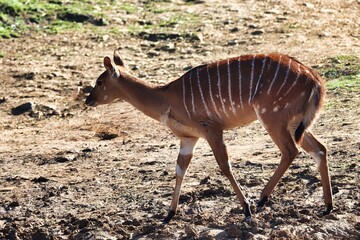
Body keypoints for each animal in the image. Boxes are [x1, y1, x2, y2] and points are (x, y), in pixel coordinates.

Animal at [86, 49, 334, 222]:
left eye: (99, 81)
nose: (88, 100)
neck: (167, 98)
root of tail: (315, 78)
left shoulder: (212, 129)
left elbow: (225, 166)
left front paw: (246, 208)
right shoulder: (188, 138)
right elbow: (180, 170)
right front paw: (169, 214)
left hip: (273, 118)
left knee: (290, 151)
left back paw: (262, 199)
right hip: (294, 123)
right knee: (320, 149)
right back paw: (327, 206)